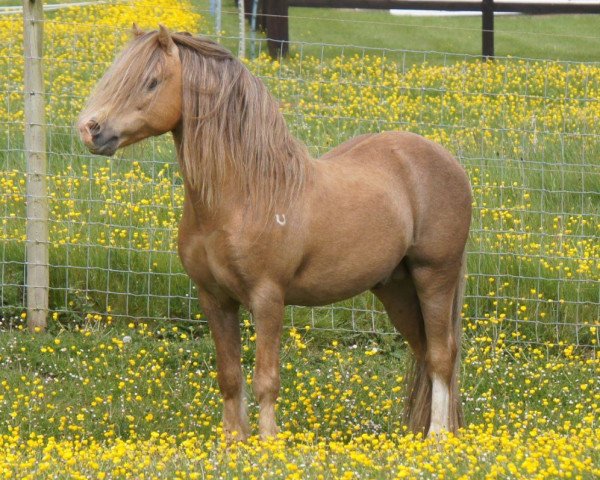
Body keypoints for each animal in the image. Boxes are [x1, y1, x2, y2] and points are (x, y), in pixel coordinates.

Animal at [78, 25, 474, 438]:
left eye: (151, 82)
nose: (90, 130)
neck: (245, 195)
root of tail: (449, 161)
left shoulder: (268, 298)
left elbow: (265, 380)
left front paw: (267, 442)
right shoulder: (214, 299)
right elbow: (229, 377)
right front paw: (233, 442)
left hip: (434, 276)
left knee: (442, 355)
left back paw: (437, 437)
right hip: (396, 287)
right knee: (424, 351)